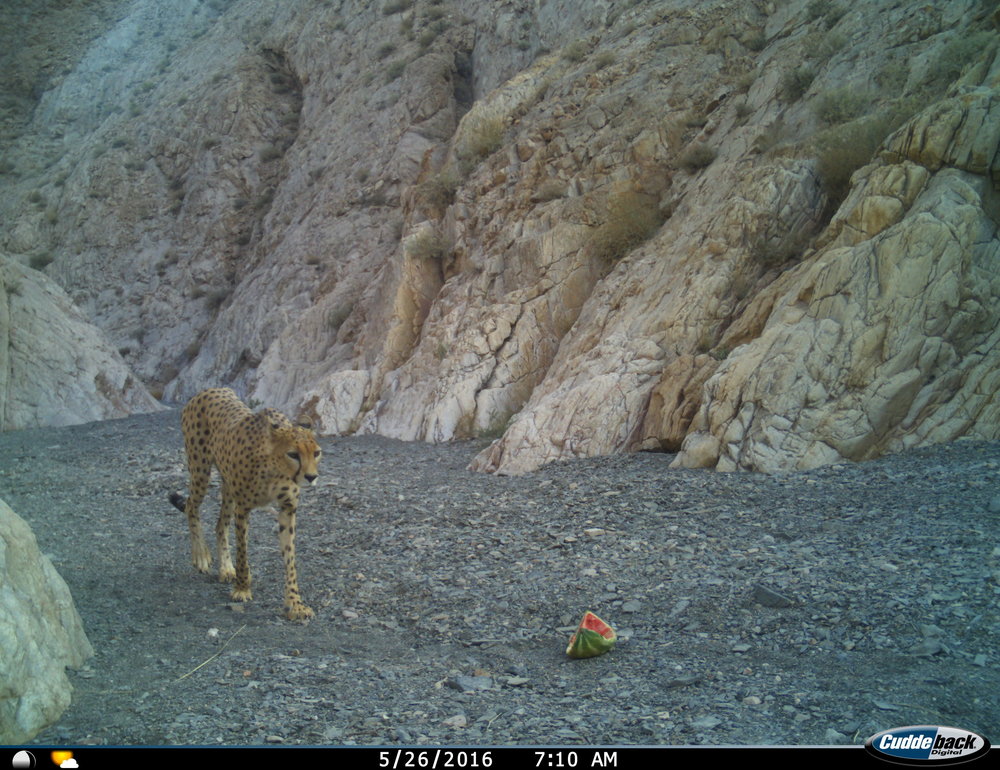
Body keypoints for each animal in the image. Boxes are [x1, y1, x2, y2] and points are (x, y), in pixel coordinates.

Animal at [169, 384, 320, 616]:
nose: (311, 477)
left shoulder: (287, 509)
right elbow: (243, 553)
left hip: (227, 486)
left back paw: (225, 568)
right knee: (191, 507)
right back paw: (201, 555)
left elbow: (290, 559)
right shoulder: (243, 509)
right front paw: (241, 588)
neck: (276, 470)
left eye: (317, 453)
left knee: (220, 524)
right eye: (293, 454)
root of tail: (210, 389)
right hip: (200, 469)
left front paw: (294, 603)